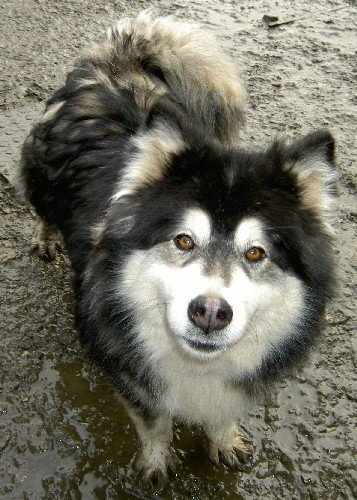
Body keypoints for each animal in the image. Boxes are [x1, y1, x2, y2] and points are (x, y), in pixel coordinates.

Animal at [20, 10, 338, 488]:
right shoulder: (130, 371)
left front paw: (224, 442)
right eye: (183, 240)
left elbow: (223, 415)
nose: (210, 312)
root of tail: (115, 64)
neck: (196, 365)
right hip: (41, 178)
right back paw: (47, 238)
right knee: (42, 208)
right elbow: (154, 425)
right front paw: (155, 463)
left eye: (256, 253)